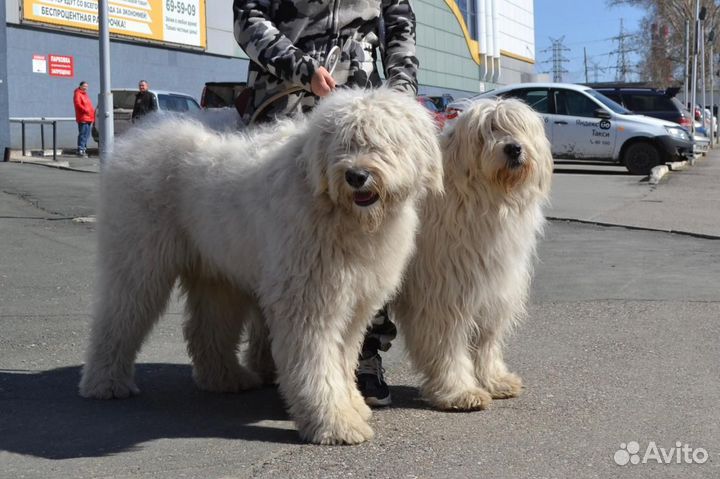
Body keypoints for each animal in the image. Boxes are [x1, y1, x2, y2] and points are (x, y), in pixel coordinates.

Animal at [76, 89, 442, 446]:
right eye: (344, 143)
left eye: (384, 142)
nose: (356, 176)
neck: (337, 210)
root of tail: (138, 137)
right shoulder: (309, 298)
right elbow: (316, 361)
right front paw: (335, 424)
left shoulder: (356, 302)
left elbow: (343, 357)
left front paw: (352, 404)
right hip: (138, 258)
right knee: (119, 316)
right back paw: (106, 383)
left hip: (217, 270)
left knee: (205, 328)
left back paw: (226, 378)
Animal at [394, 98, 552, 412]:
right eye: (485, 133)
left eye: (518, 127)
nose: (513, 148)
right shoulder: (444, 294)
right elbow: (448, 346)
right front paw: (459, 392)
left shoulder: (493, 289)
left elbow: (486, 341)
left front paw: (495, 381)